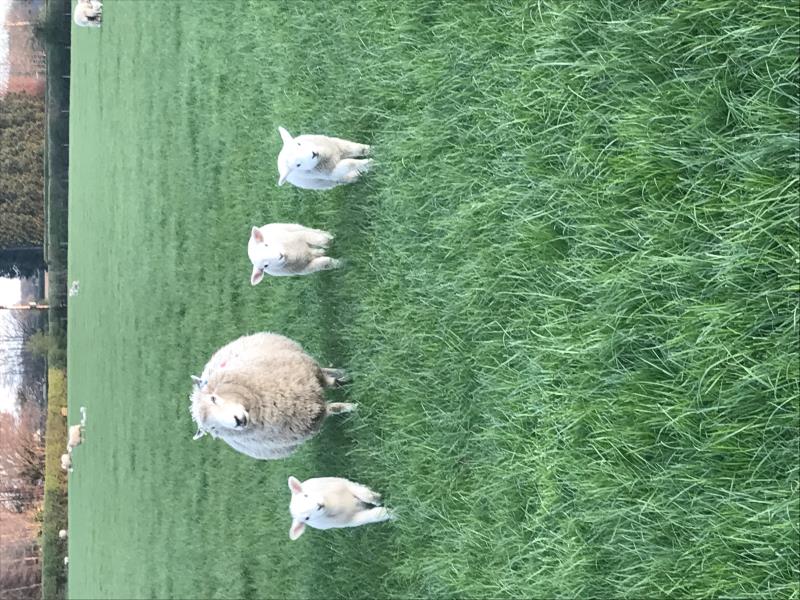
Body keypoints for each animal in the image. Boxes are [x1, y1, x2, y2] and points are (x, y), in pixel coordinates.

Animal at [189, 332, 355, 460]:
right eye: (212, 428)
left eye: (213, 398)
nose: (238, 421)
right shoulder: (311, 418)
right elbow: (334, 408)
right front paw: (352, 407)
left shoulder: (310, 373)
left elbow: (332, 382)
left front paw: (348, 383)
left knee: (325, 371)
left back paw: (341, 372)